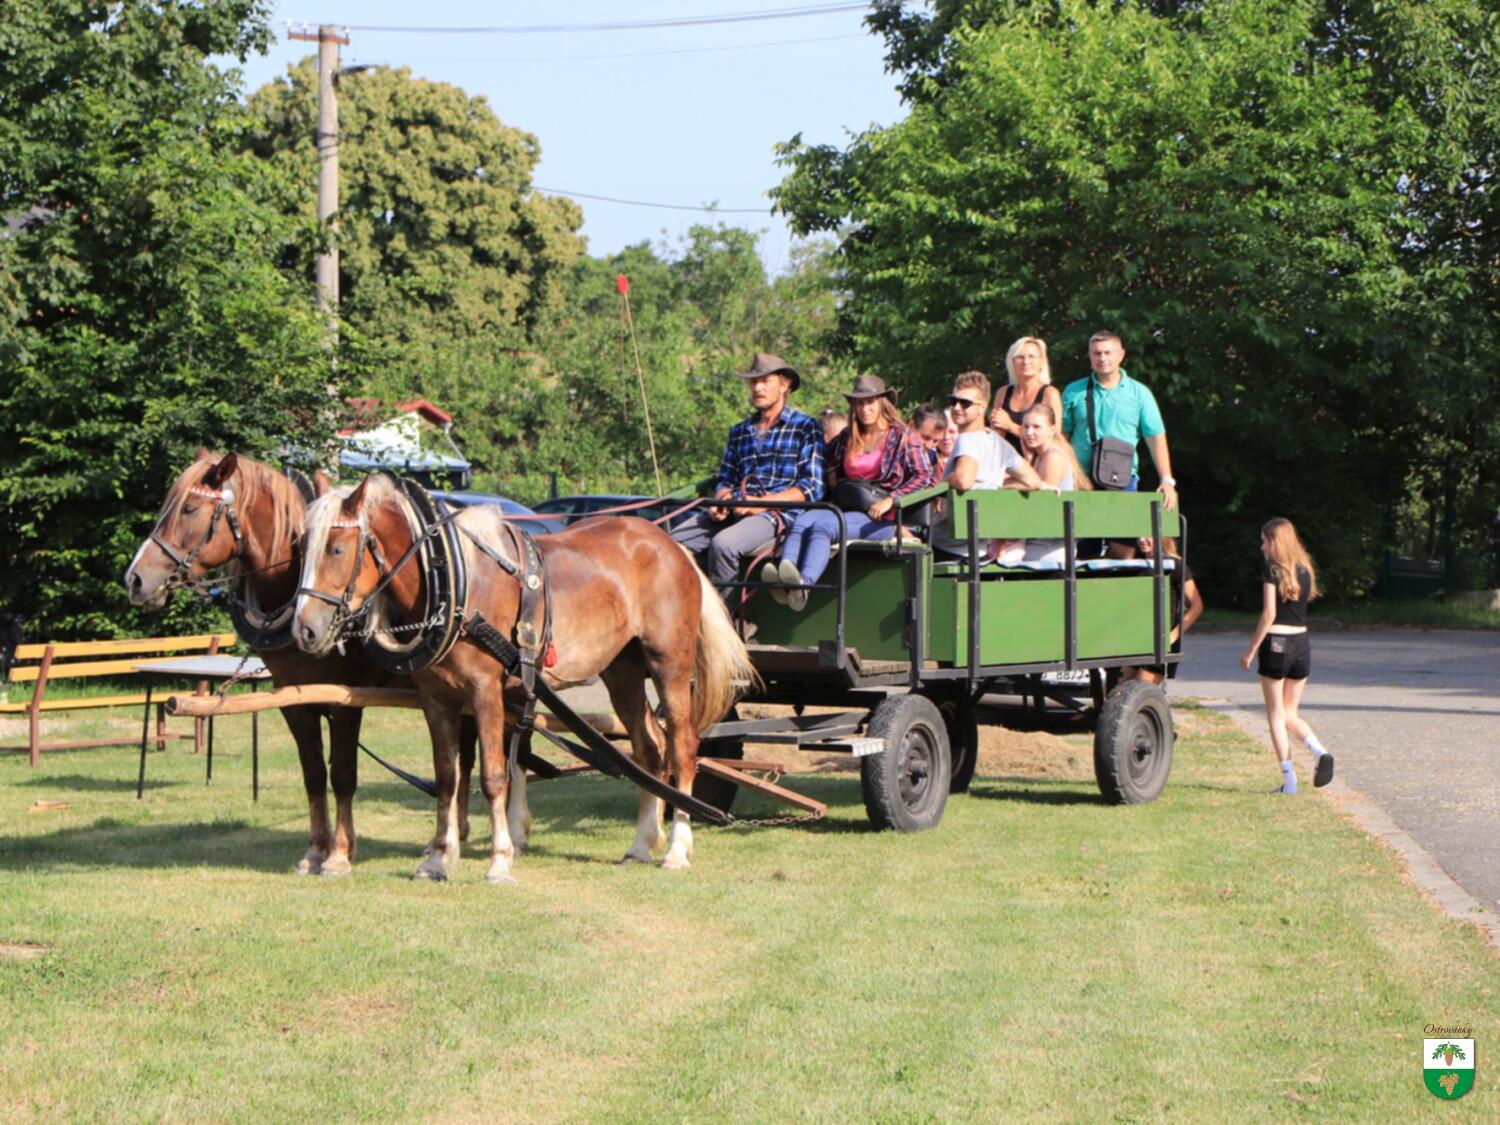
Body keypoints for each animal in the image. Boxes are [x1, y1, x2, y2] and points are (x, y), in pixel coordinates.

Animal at [124, 451, 482, 875]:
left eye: (190, 508)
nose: (135, 579)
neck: (294, 585)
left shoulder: (347, 699)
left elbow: (342, 774)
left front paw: (339, 854)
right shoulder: (294, 699)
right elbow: (312, 774)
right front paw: (315, 850)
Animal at [291, 474, 755, 882]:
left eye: (336, 549)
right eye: (300, 549)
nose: (305, 629)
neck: (454, 582)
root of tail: (672, 546)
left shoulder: (484, 692)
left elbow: (494, 777)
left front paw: (499, 861)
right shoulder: (436, 698)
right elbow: (447, 778)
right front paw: (438, 860)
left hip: (669, 662)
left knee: (682, 745)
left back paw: (676, 850)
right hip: (621, 670)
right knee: (648, 749)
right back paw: (642, 844)